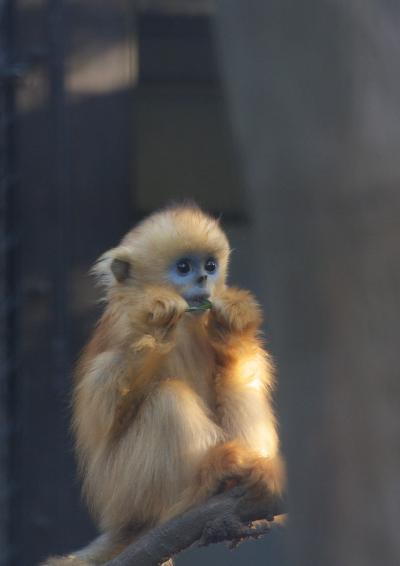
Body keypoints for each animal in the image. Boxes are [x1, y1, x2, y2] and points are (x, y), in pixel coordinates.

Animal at [41, 205, 284, 566]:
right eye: (183, 268)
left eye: (210, 265)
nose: (203, 279)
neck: (187, 325)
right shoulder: (119, 328)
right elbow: (101, 410)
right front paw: (156, 324)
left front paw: (232, 323)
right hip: (122, 489)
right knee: (167, 396)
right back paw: (200, 489)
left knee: (242, 385)